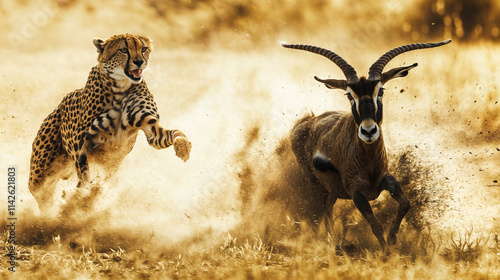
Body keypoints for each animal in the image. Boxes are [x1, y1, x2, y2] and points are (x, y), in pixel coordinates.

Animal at [28, 34, 191, 213]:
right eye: (124, 50)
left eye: (144, 49)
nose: (139, 62)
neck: (121, 87)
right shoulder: (81, 143)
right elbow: (85, 175)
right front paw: (83, 198)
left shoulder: (150, 128)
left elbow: (173, 134)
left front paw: (183, 146)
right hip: (39, 175)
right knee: (43, 197)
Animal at [284, 39, 452, 249]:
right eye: (349, 95)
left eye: (380, 90)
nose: (369, 131)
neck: (368, 159)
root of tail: (307, 122)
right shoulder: (356, 192)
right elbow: (375, 224)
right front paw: (386, 250)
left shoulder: (384, 179)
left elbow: (405, 203)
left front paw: (393, 238)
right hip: (316, 185)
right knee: (319, 213)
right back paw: (326, 243)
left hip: (331, 191)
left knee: (327, 210)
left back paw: (332, 241)